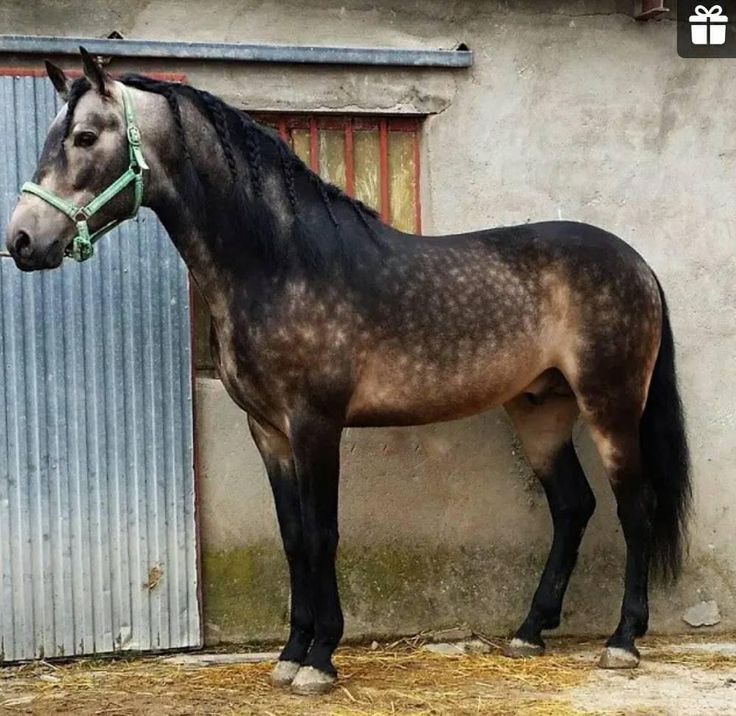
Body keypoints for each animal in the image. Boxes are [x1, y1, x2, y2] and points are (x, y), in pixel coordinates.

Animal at [5, 51, 688, 700]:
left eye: (85, 137)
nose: (22, 239)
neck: (281, 264)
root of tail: (637, 264)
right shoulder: (269, 432)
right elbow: (292, 539)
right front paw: (289, 655)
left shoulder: (316, 425)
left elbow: (322, 534)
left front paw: (320, 660)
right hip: (540, 411)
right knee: (573, 506)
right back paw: (529, 633)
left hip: (610, 407)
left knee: (635, 508)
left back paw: (623, 641)